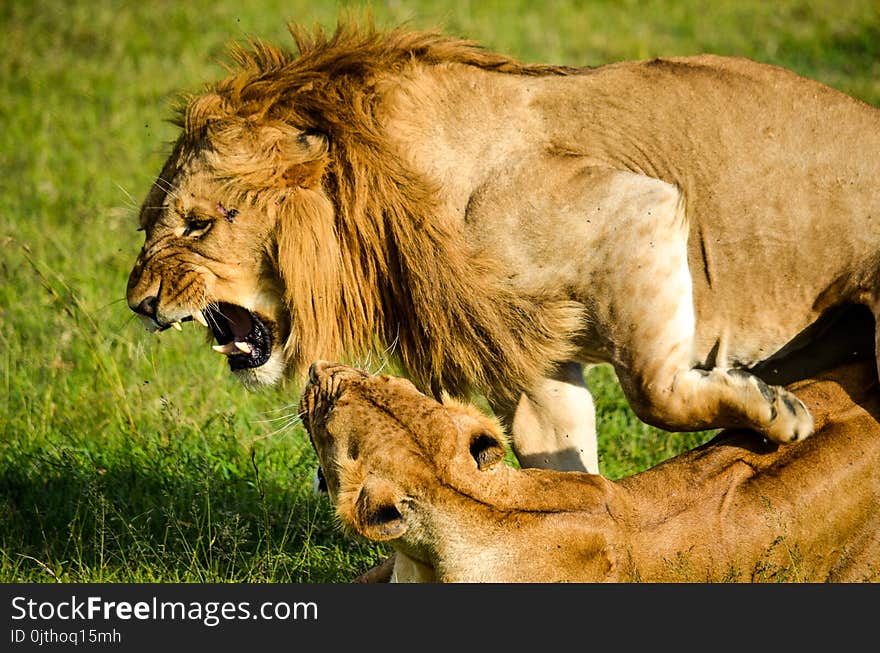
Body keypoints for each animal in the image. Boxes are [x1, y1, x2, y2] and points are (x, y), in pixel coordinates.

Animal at [125, 22, 880, 474]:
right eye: (146, 225)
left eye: (198, 224)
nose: (138, 304)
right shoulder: (527, 358)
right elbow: (562, 465)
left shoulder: (637, 208)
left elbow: (656, 392)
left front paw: (775, 410)